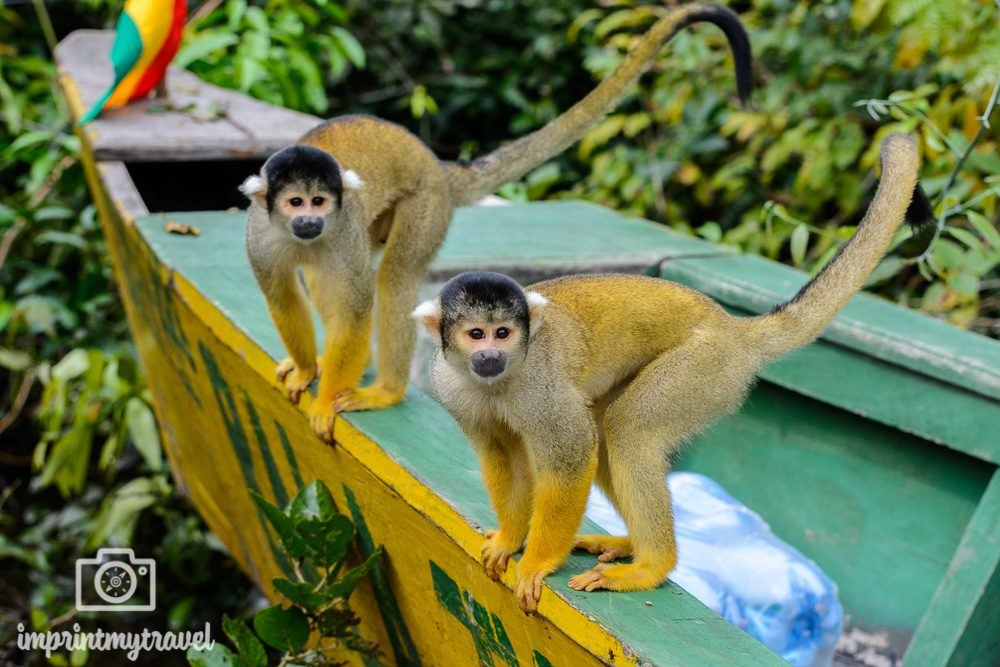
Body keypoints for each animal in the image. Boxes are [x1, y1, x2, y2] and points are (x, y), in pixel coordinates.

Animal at [240, 2, 752, 440]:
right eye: (296, 203)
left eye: (320, 201)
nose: (310, 223)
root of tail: (433, 162)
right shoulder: (259, 233)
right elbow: (282, 296)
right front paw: (308, 370)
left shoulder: (343, 226)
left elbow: (355, 305)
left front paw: (324, 398)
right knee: (328, 275)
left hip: (424, 202)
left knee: (394, 276)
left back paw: (386, 390)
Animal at [414, 134, 928, 616]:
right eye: (476, 334)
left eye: (503, 333)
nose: (491, 356)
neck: (496, 382)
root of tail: (733, 328)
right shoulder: (452, 387)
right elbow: (503, 458)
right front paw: (508, 539)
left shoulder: (539, 386)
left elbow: (572, 455)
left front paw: (538, 561)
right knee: (610, 431)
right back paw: (630, 546)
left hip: (706, 369)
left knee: (628, 428)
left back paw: (651, 566)